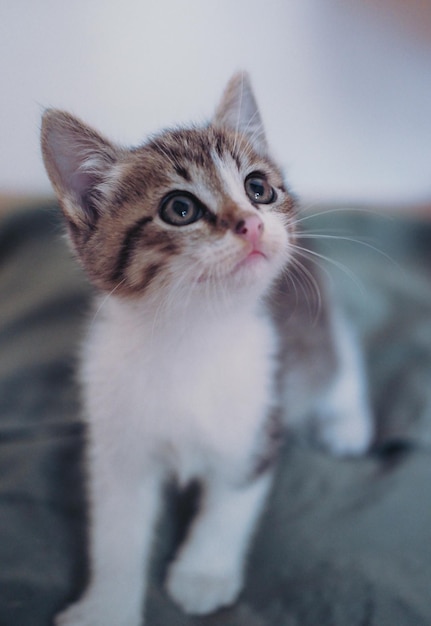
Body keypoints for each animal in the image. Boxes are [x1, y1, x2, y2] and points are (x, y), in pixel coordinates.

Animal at [41, 70, 374, 620]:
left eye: (258, 188)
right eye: (180, 208)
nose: (252, 222)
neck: (191, 335)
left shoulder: (258, 423)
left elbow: (228, 508)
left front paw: (202, 574)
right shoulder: (116, 445)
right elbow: (117, 530)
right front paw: (107, 605)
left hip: (318, 320)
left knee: (341, 364)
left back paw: (347, 424)